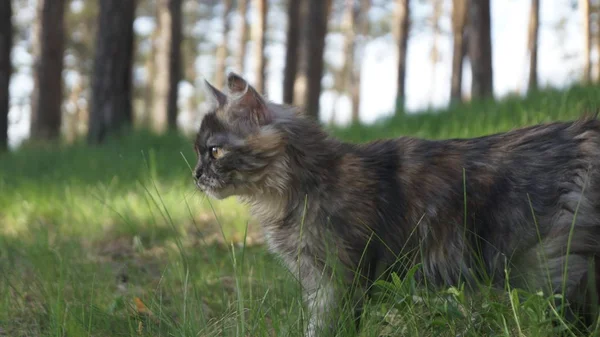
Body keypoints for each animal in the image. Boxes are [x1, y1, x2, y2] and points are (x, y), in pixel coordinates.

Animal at [195, 72, 600, 334]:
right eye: (197, 151)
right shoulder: (319, 281)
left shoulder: (338, 278)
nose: (197, 175)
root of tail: (583, 132)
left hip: (547, 265)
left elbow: (329, 326)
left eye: (214, 151)